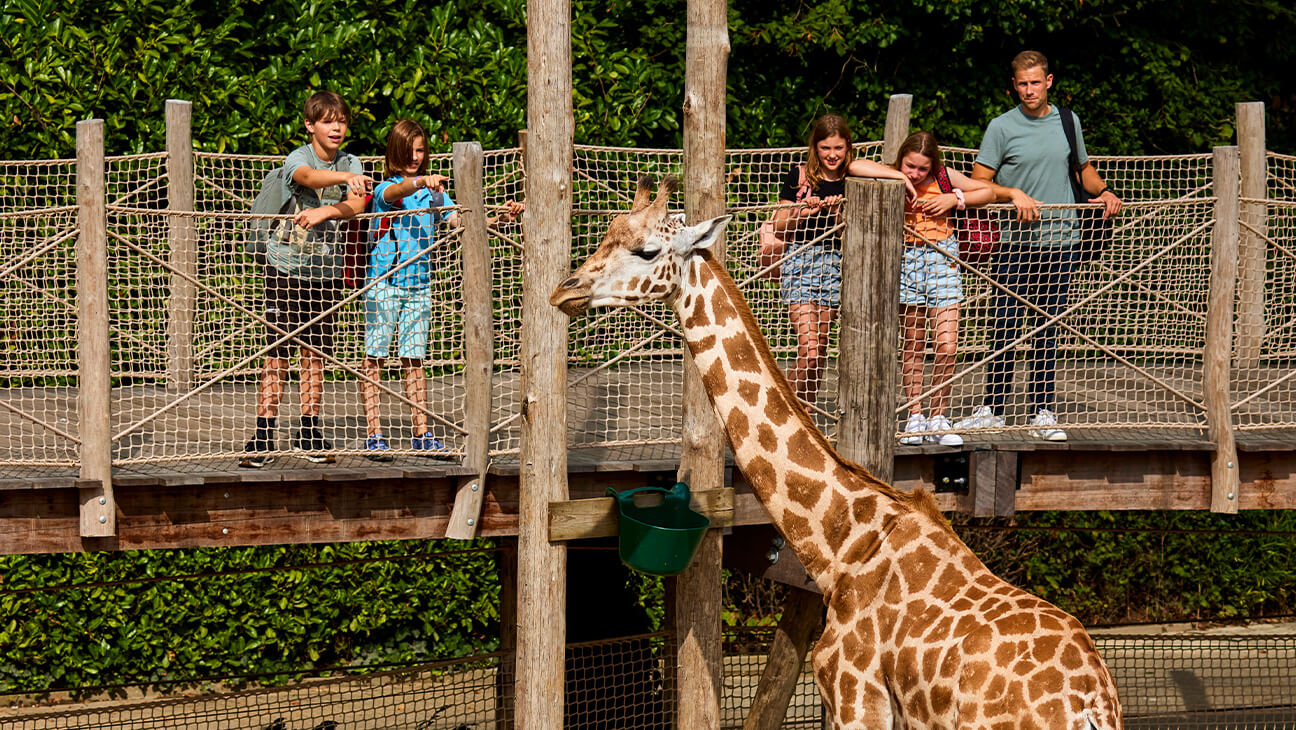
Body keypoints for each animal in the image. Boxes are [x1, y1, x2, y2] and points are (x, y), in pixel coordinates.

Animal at [546, 178, 1124, 730]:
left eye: (645, 250)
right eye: (607, 234)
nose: (562, 291)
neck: (840, 546)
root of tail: (1089, 705)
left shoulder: (856, 699)